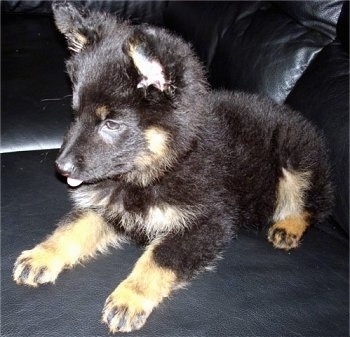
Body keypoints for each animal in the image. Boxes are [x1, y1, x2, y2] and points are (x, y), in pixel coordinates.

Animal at [11, 1, 334, 334]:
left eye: (111, 124)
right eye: (76, 114)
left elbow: (158, 258)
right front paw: (42, 255)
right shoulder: (108, 207)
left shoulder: (207, 223)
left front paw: (129, 298)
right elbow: (72, 228)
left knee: (313, 202)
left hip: (294, 153)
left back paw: (288, 226)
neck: (159, 168)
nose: (60, 167)